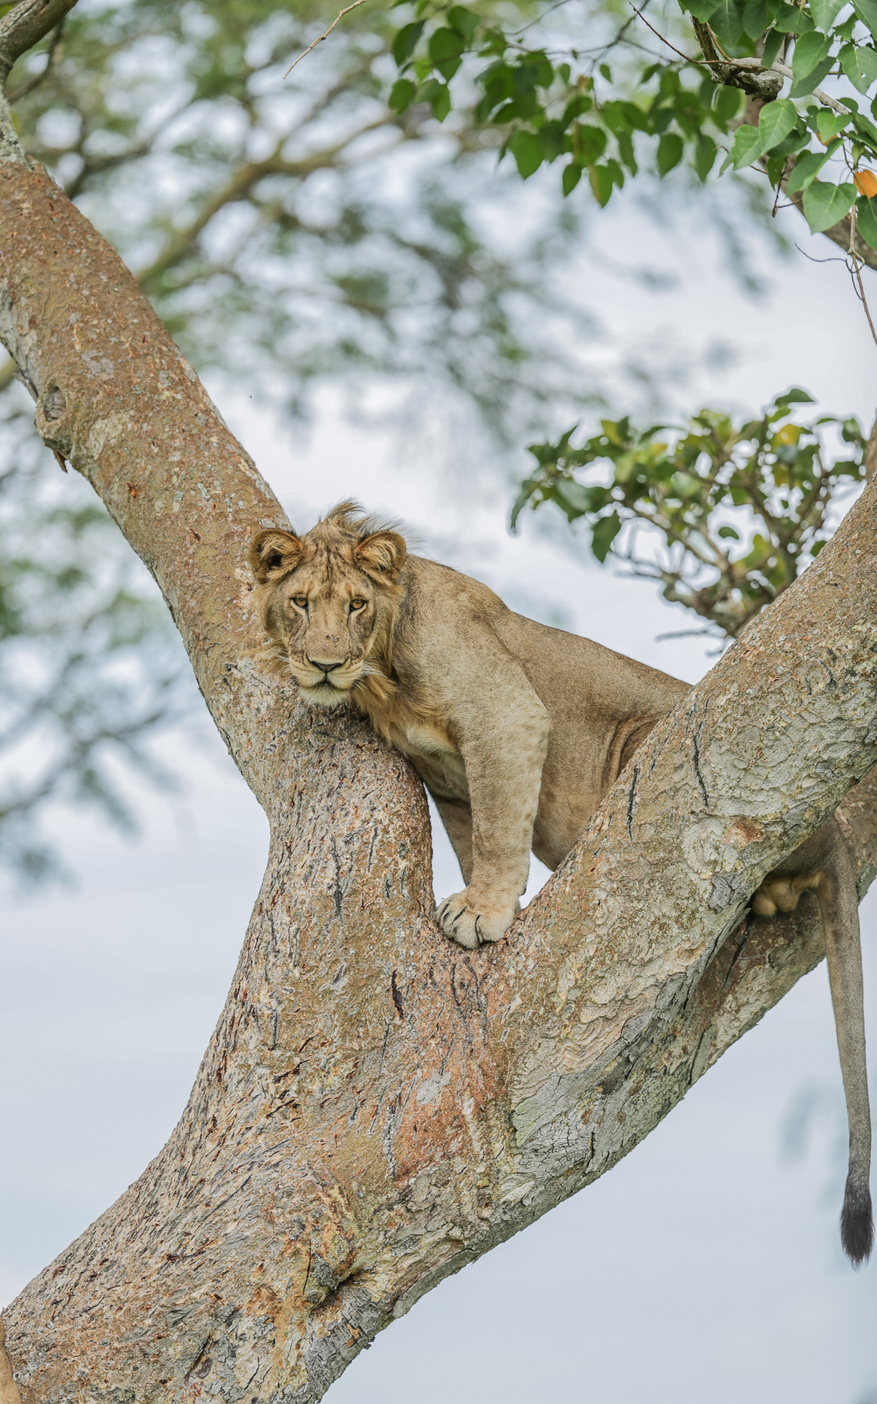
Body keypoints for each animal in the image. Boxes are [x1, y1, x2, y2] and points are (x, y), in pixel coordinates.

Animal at [249, 502, 869, 1263]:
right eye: (301, 604)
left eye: (356, 605)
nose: (325, 663)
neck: (381, 670)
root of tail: (836, 827)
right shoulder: (446, 782)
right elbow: (478, 836)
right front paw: (487, 901)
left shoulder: (504, 716)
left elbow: (498, 828)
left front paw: (483, 913)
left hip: (654, 743)